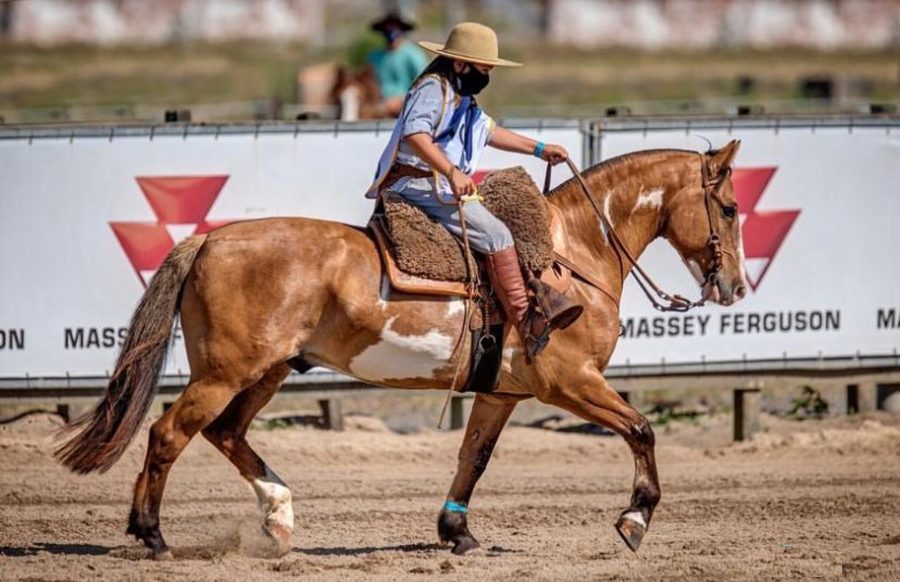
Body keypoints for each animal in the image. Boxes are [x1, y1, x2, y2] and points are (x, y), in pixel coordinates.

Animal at [56, 141, 747, 559]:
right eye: (731, 207)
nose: (737, 288)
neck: (570, 254)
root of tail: (207, 240)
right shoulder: (570, 382)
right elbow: (641, 429)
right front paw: (635, 519)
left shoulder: (501, 393)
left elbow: (474, 458)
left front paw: (457, 532)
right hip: (226, 372)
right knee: (169, 434)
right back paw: (153, 536)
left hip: (266, 372)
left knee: (225, 433)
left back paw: (278, 516)